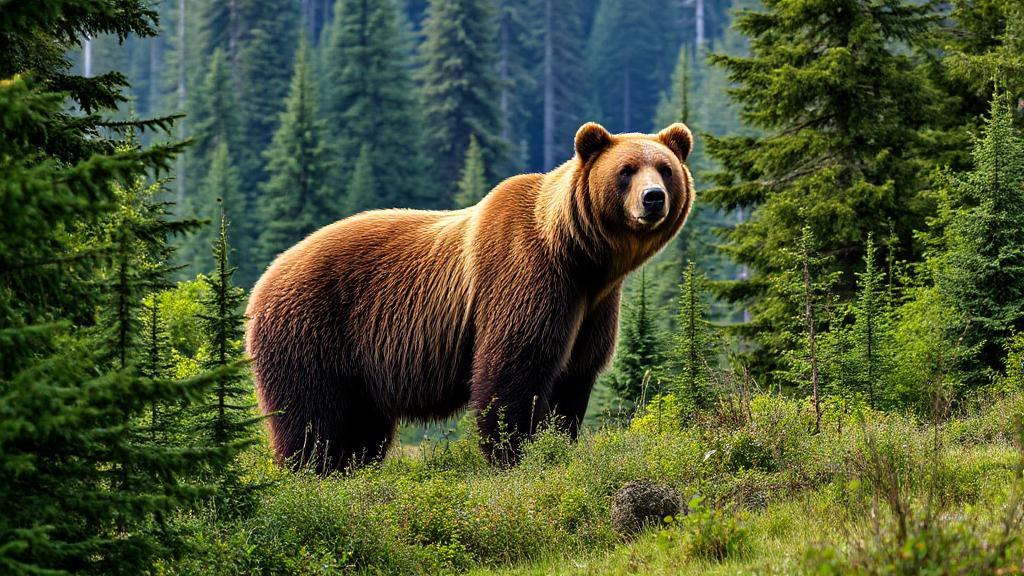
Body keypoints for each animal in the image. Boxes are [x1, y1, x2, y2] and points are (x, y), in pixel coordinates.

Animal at [245, 122, 695, 473]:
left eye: (665, 169)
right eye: (626, 170)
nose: (653, 198)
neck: (579, 257)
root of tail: (263, 277)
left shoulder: (593, 308)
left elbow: (574, 377)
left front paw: (559, 442)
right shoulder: (525, 278)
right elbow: (513, 368)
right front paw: (513, 452)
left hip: (360, 367)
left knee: (363, 427)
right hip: (312, 330)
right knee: (309, 416)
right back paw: (310, 469)